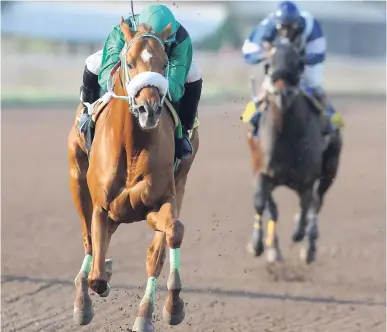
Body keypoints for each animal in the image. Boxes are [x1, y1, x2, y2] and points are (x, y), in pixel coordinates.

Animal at [66, 18, 199, 332]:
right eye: (129, 62)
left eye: (164, 63)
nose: (148, 109)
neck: (132, 146)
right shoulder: (102, 206)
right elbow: (97, 272)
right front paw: (96, 281)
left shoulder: (159, 200)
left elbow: (172, 233)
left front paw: (172, 305)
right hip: (77, 178)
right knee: (88, 241)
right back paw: (82, 301)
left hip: (180, 182)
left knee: (155, 250)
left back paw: (145, 313)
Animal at [244, 40, 344, 264]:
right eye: (269, 64)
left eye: (299, 64)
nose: (282, 94)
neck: (284, 139)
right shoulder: (262, 172)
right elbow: (262, 203)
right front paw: (258, 245)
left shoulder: (306, 180)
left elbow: (307, 206)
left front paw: (300, 232)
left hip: (330, 170)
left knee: (317, 202)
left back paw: (309, 247)